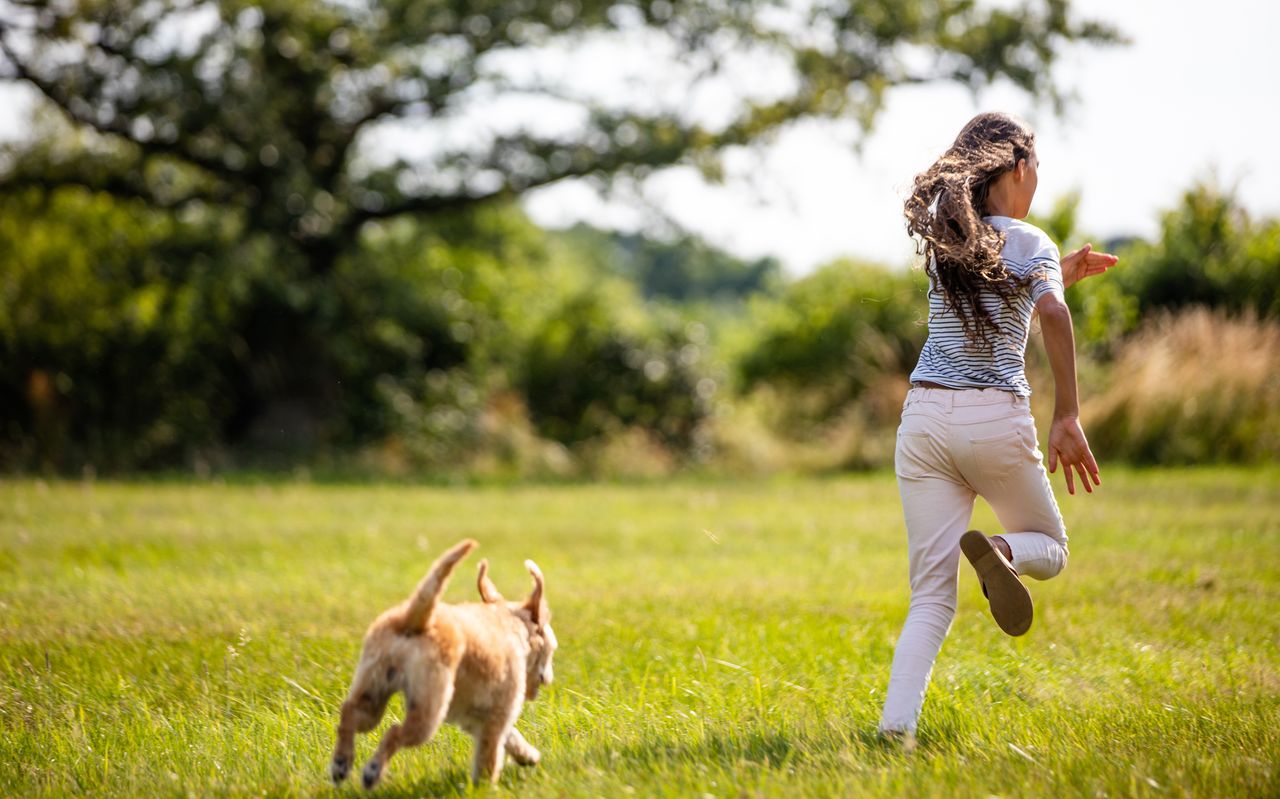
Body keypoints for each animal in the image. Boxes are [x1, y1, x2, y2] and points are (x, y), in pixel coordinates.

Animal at [330, 540, 555, 788]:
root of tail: (416, 618)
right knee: (394, 732)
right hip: (428, 709)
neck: (514, 626)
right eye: (552, 648)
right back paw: (372, 771)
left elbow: (512, 737)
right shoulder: (499, 715)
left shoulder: (475, 717)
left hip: (372, 688)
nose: (550, 678)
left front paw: (529, 756)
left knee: (349, 713)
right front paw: (485, 787)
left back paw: (341, 764)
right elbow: (490, 754)